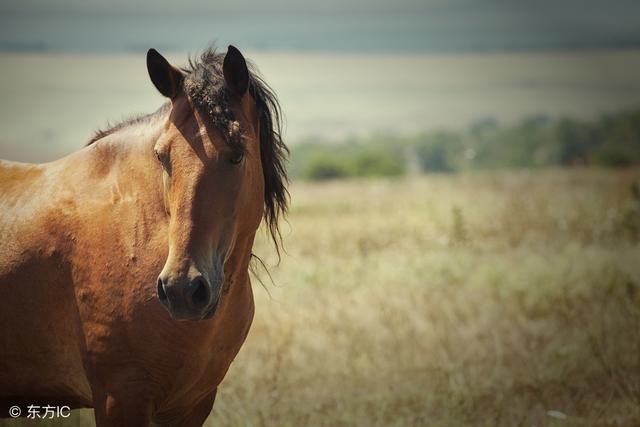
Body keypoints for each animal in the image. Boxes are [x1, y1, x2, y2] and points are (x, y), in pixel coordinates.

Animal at [0, 45, 288, 426]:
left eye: (237, 154)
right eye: (162, 156)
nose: (182, 289)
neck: (142, 234)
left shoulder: (192, 405)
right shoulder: (119, 398)